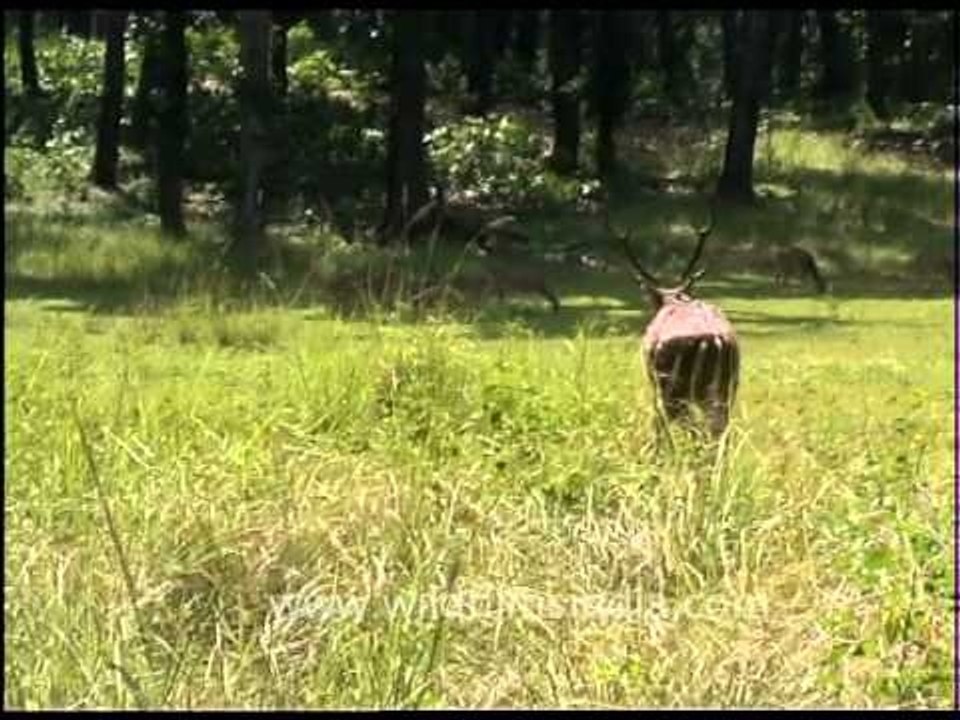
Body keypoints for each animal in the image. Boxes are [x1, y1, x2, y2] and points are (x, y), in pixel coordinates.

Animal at [606, 206, 740, 439]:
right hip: (727, 386)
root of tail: (711, 340)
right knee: (718, 429)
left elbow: (658, 424)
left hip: (672, 386)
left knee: (684, 425)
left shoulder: (653, 380)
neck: (672, 299)